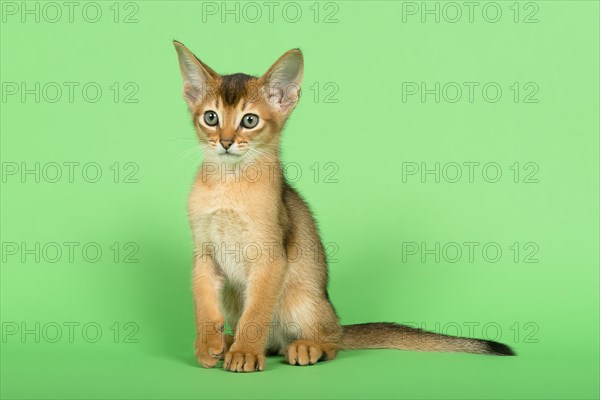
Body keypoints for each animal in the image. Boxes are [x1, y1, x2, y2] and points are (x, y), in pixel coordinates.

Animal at [173, 40, 516, 372]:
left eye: (249, 120)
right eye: (211, 117)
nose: (225, 142)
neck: (227, 185)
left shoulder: (270, 256)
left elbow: (255, 315)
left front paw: (245, 353)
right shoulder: (203, 254)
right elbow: (203, 305)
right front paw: (207, 345)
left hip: (300, 298)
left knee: (330, 340)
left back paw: (302, 347)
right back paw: (227, 342)